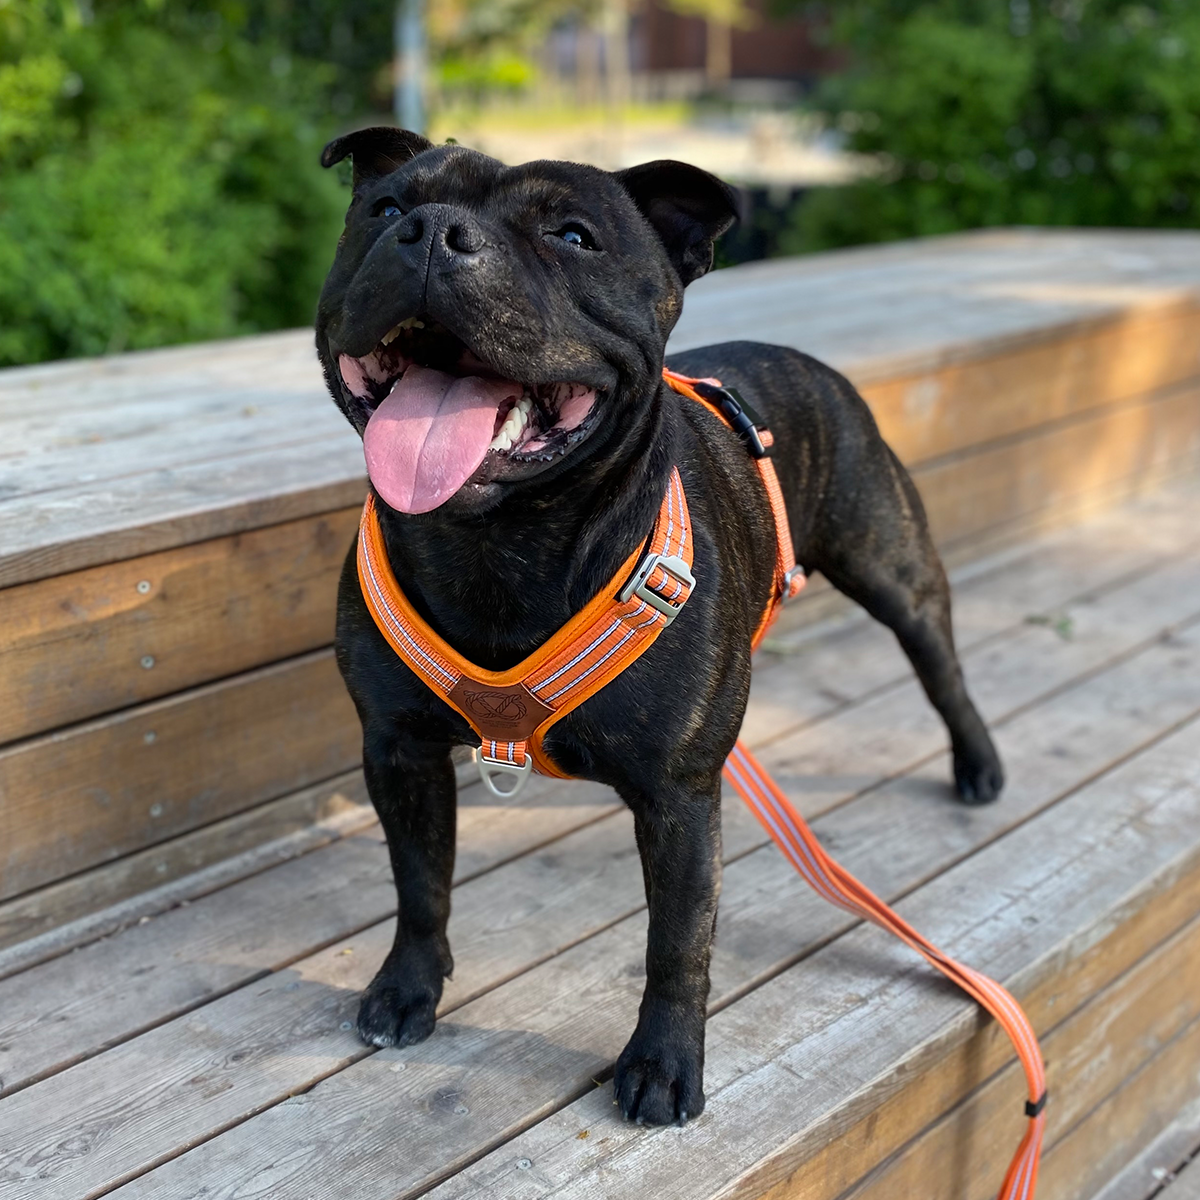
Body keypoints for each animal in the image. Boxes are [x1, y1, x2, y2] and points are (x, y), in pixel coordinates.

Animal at [312, 126, 1003, 1128]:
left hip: (897, 574)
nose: (435, 232)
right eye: (389, 208)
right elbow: (419, 882)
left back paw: (979, 765)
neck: (497, 546)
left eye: (572, 235)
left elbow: (678, 944)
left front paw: (664, 1066)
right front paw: (408, 988)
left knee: (944, 669)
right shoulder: (399, 752)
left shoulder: (680, 800)